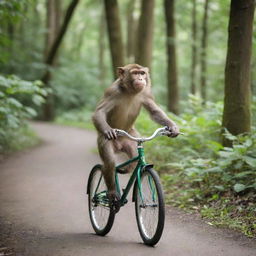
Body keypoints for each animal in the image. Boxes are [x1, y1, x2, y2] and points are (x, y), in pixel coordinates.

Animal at [92, 63, 180, 201]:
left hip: (131, 138)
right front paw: (108, 130)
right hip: (103, 140)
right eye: (135, 73)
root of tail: (119, 145)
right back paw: (111, 191)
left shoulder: (146, 92)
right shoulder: (112, 91)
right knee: (109, 163)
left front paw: (172, 127)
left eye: (142, 73)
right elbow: (99, 112)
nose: (140, 79)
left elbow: (154, 111)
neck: (130, 91)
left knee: (133, 157)